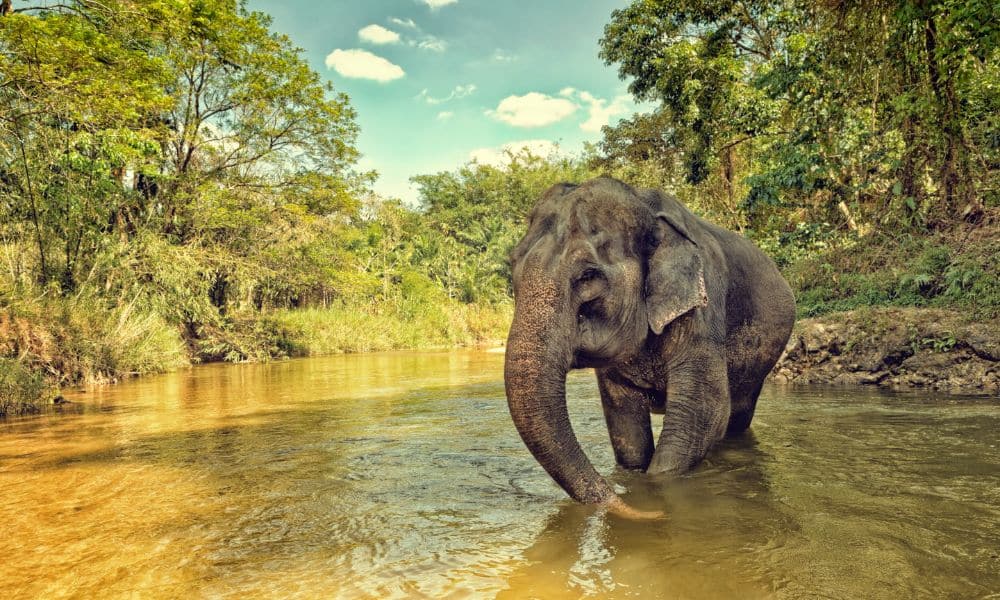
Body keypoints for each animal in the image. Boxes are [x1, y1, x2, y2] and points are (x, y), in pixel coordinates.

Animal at [504, 176, 792, 516]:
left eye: (588, 275)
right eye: (512, 266)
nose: (649, 512)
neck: (643, 203)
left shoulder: (702, 309)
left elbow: (703, 413)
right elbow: (625, 424)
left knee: (737, 415)